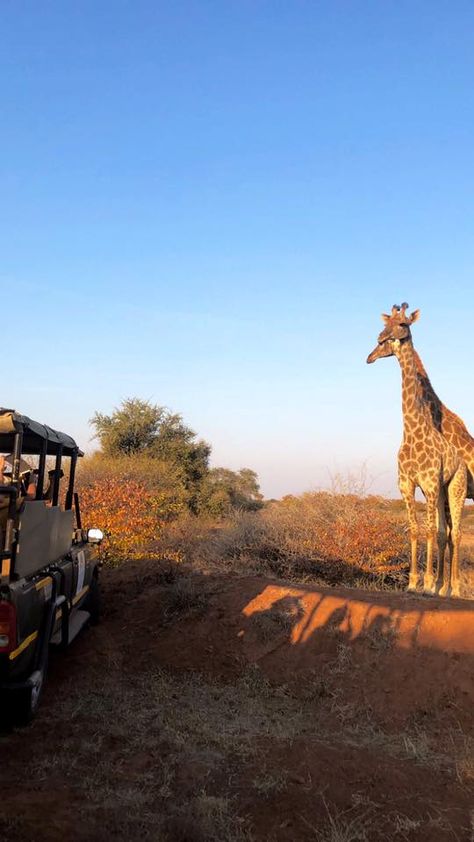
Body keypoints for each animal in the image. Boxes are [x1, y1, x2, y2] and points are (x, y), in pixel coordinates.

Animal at [366, 304, 466, 596]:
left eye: (403, 324)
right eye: (385, 327)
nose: (371, 353)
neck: (411, 430)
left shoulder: (430, 484)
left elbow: (429, 531)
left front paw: (428, 584)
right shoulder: (407, 485)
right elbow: (414, 529)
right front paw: (412, 583)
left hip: (455, 486)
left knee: (455, 532)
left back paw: (454, 589)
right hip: (443, 491)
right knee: (446, 532)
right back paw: (445, 587)